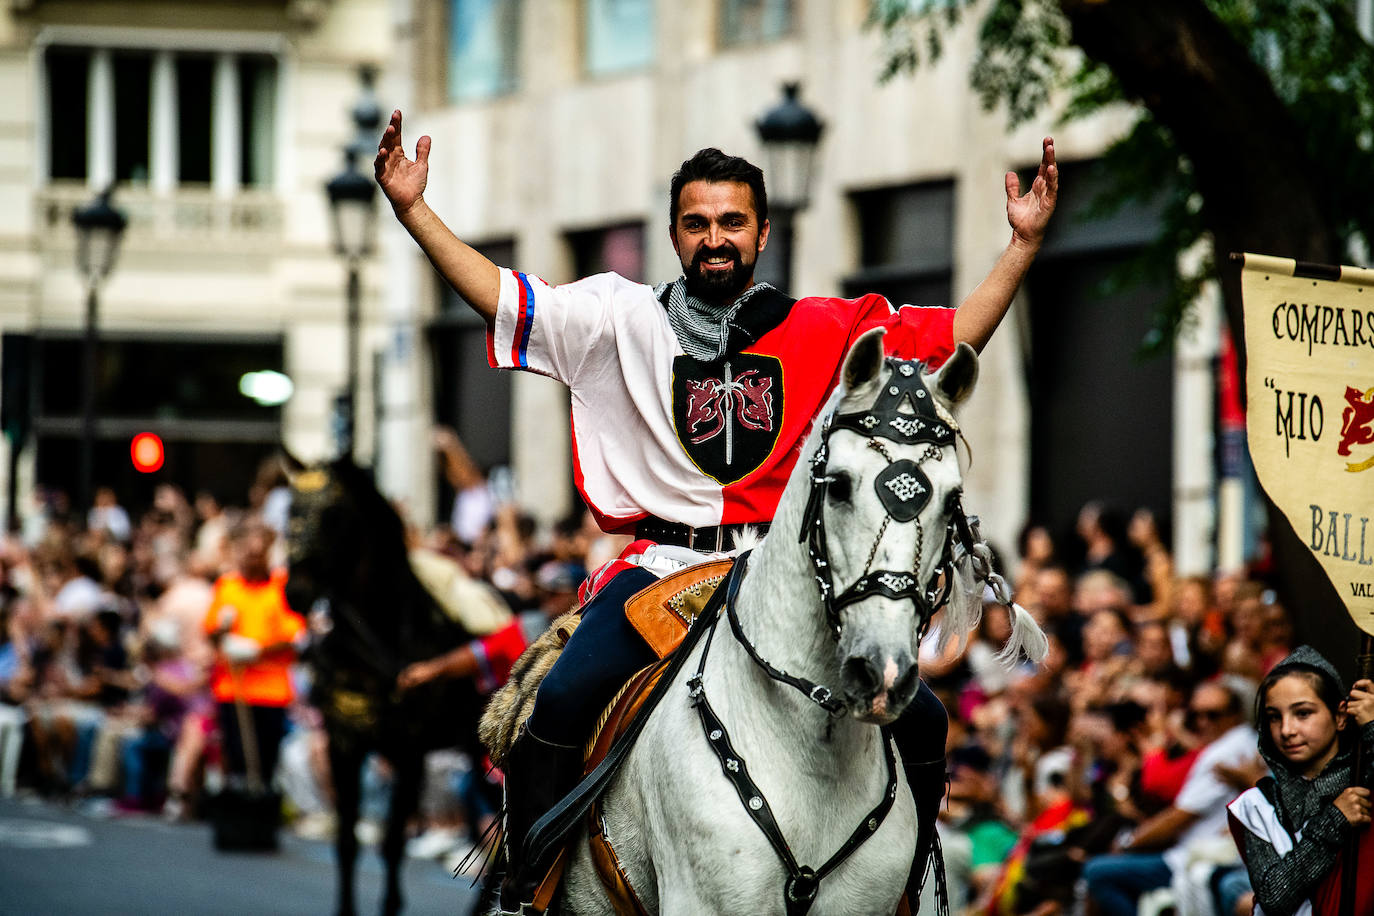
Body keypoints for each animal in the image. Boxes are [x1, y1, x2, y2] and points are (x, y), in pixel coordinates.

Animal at [281, 458, 491, 916]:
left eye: (332, 515)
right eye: (290, 509)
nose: (295, 591)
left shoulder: (409, 749)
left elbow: (393, 843)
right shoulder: (344, 743)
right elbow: (346, 842)